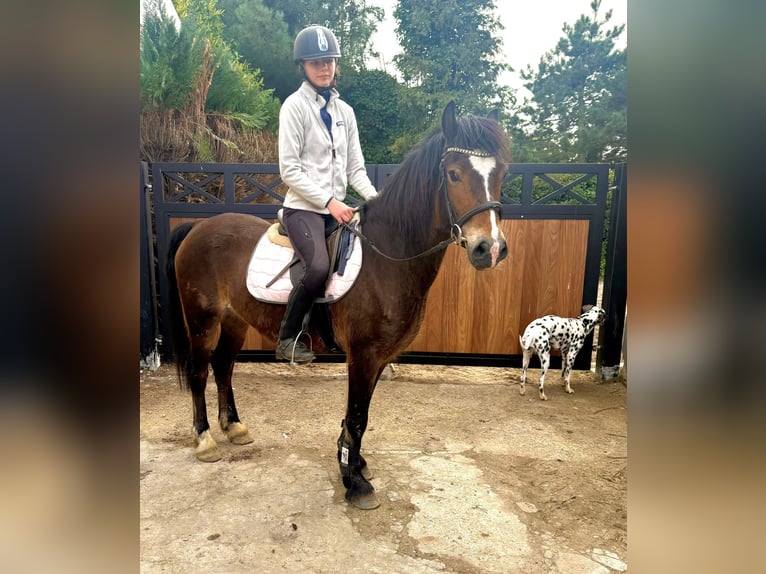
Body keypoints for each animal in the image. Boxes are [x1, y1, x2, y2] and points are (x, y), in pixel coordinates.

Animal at [165, 101, 512, 509]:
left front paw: (355, 464)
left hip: (235, 320)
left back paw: (234, 427)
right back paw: (204, 439)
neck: (388, 257)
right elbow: (358, 416)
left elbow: (360, 415)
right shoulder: (363, 354)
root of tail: (197, 227)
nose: (490, 249)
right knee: (200, 372)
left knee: (223, 367)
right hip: (203, 321)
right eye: (454, 174)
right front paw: (355, 482)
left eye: (501, 173)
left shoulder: (379, 357)